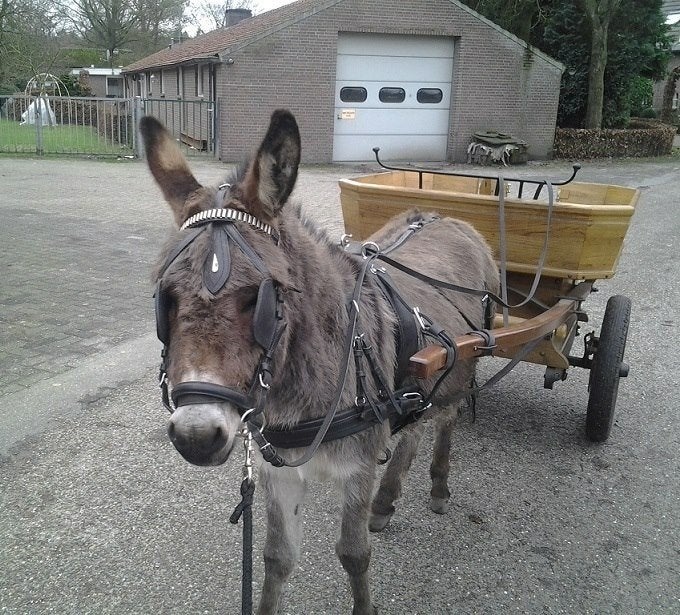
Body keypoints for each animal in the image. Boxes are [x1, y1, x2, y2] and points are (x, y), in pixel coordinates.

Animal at [141, 109, 499, 614]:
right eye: (165, 298)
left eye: (260, 300)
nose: (196, 436)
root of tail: (446, 216)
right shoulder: (279, 472)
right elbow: (276, 557)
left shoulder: (357, 468)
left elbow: (353, 554)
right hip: (418, 384)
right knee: (416, 426)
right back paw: (386, 502)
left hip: (460, 368)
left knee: (444, 420)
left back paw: (438, 487)